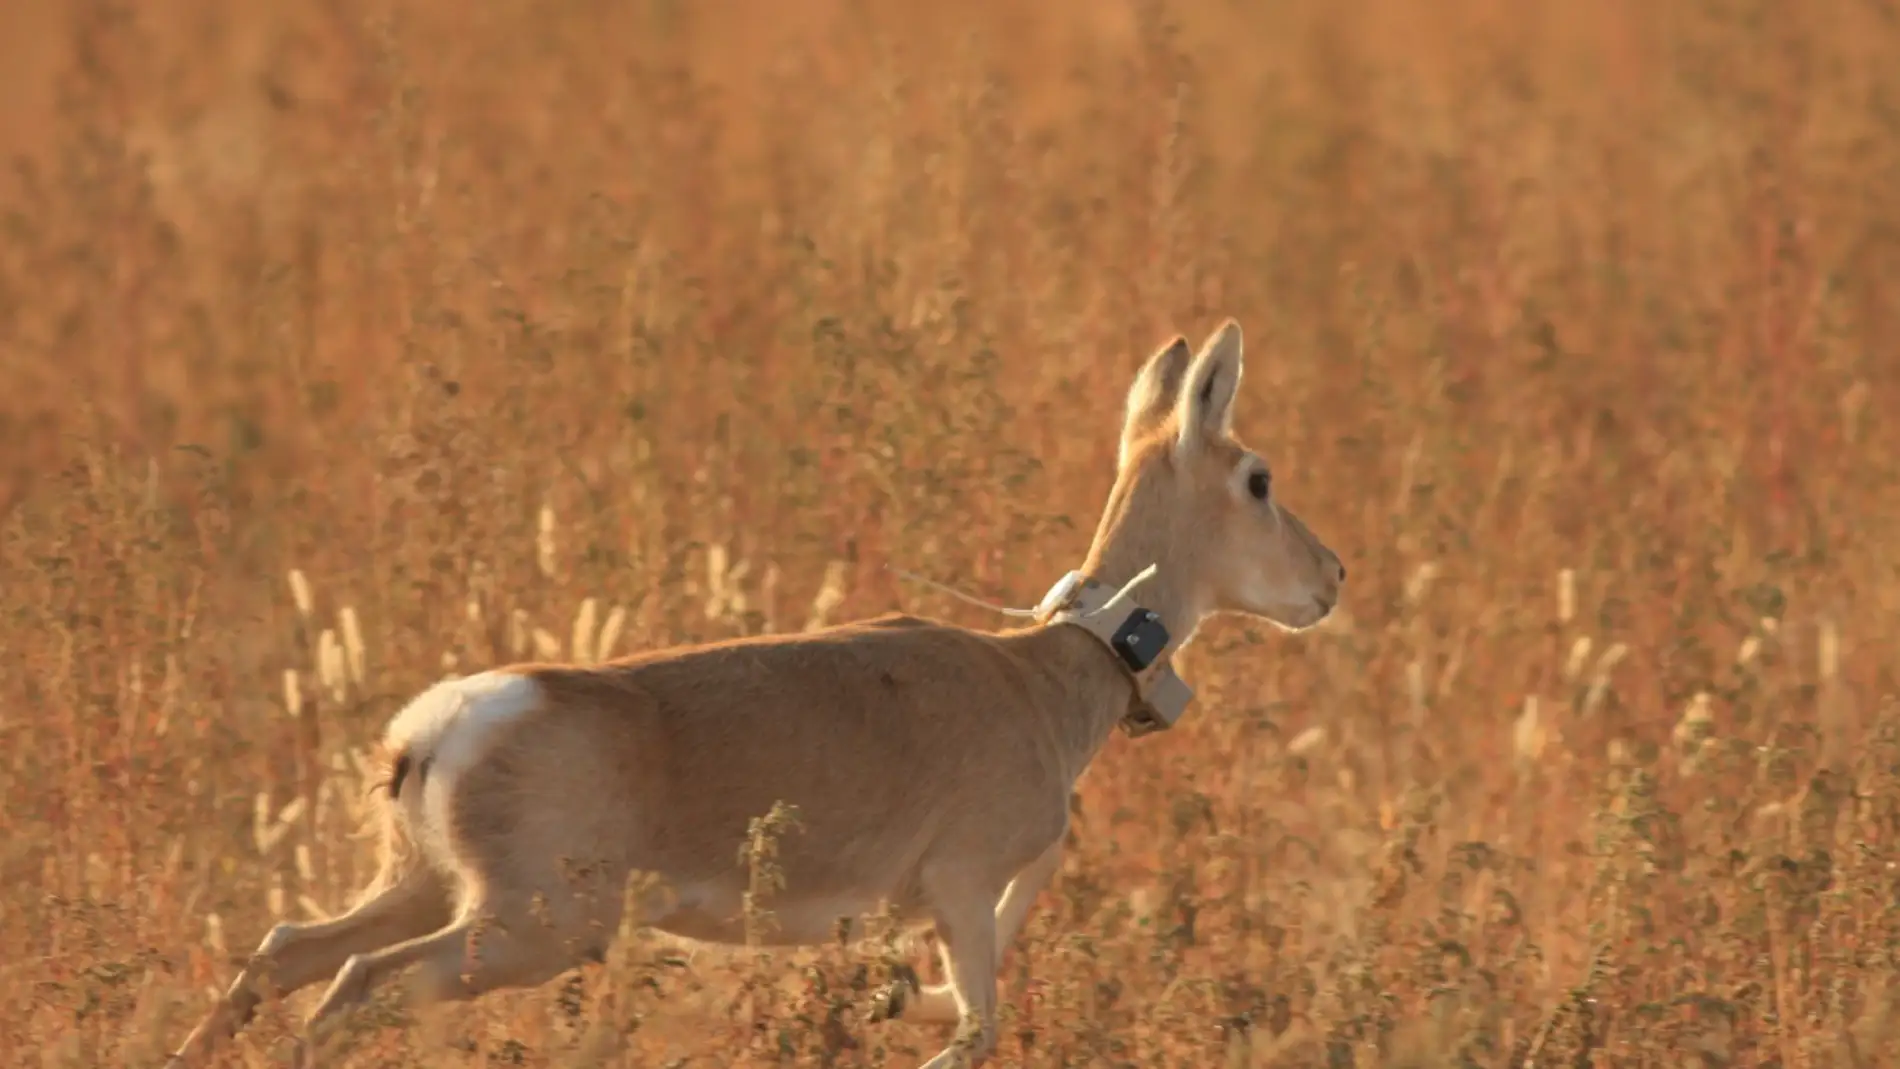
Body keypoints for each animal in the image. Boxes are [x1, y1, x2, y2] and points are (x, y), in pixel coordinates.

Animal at [171, 317, 1345, 1069]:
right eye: (1258, 477)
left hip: (424, 887)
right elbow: (975, 1030)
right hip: (522, 930)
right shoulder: (966, 893)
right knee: (356, 984)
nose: (1331, 575)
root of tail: (435, 731)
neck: (1045, 673)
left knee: (287, 950)